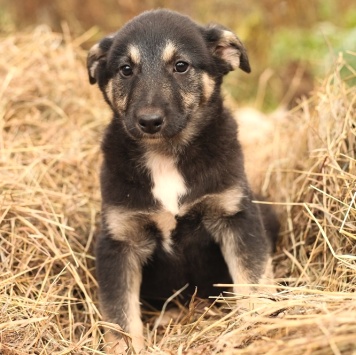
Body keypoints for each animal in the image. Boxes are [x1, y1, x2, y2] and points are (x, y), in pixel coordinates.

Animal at [87, 9, 276, 354]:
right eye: (125, 70)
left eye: (181, 66)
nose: (149, 121)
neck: (165, 155)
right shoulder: (119, 240)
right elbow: (120, 315)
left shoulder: (236, 217)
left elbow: (252, 280)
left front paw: (253, 327)